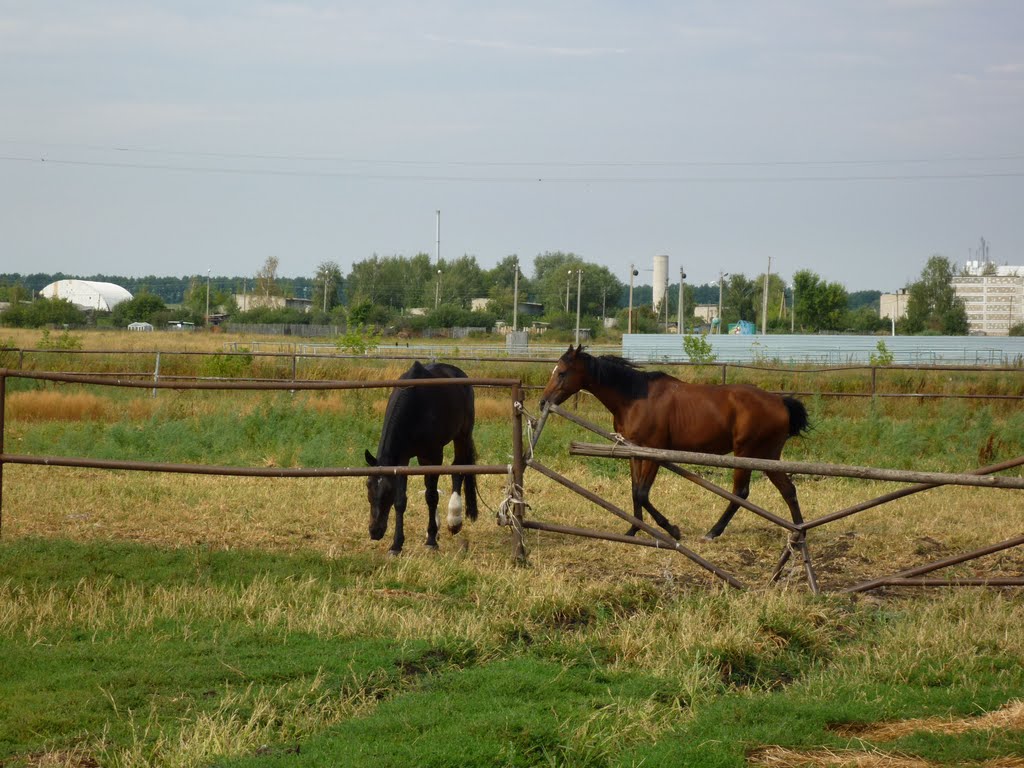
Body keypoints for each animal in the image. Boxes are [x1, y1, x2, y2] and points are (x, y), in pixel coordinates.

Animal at [364, 360, 479, 552]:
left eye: (387, 492)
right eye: (368, 487)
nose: (375, 532)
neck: (415, 406)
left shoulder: (434, 456)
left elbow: (431, 496)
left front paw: (431, 540)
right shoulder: (402, 460)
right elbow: (401, 501)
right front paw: (396, 544)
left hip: (462, 435)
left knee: (458, 468)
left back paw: (454, 520)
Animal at [540, 346, 811, 544]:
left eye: (562, 373)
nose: (543, 402)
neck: (635, 398)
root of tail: (780, 402)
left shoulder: (653, 453)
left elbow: (642, 493)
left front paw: (672, 530)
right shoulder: (633, 451)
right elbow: (635, 492)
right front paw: (632, 531)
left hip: (746, 454)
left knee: (740, 493)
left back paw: (713, 532)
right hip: (768, 456)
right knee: (788, 490)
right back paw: (800, 532)